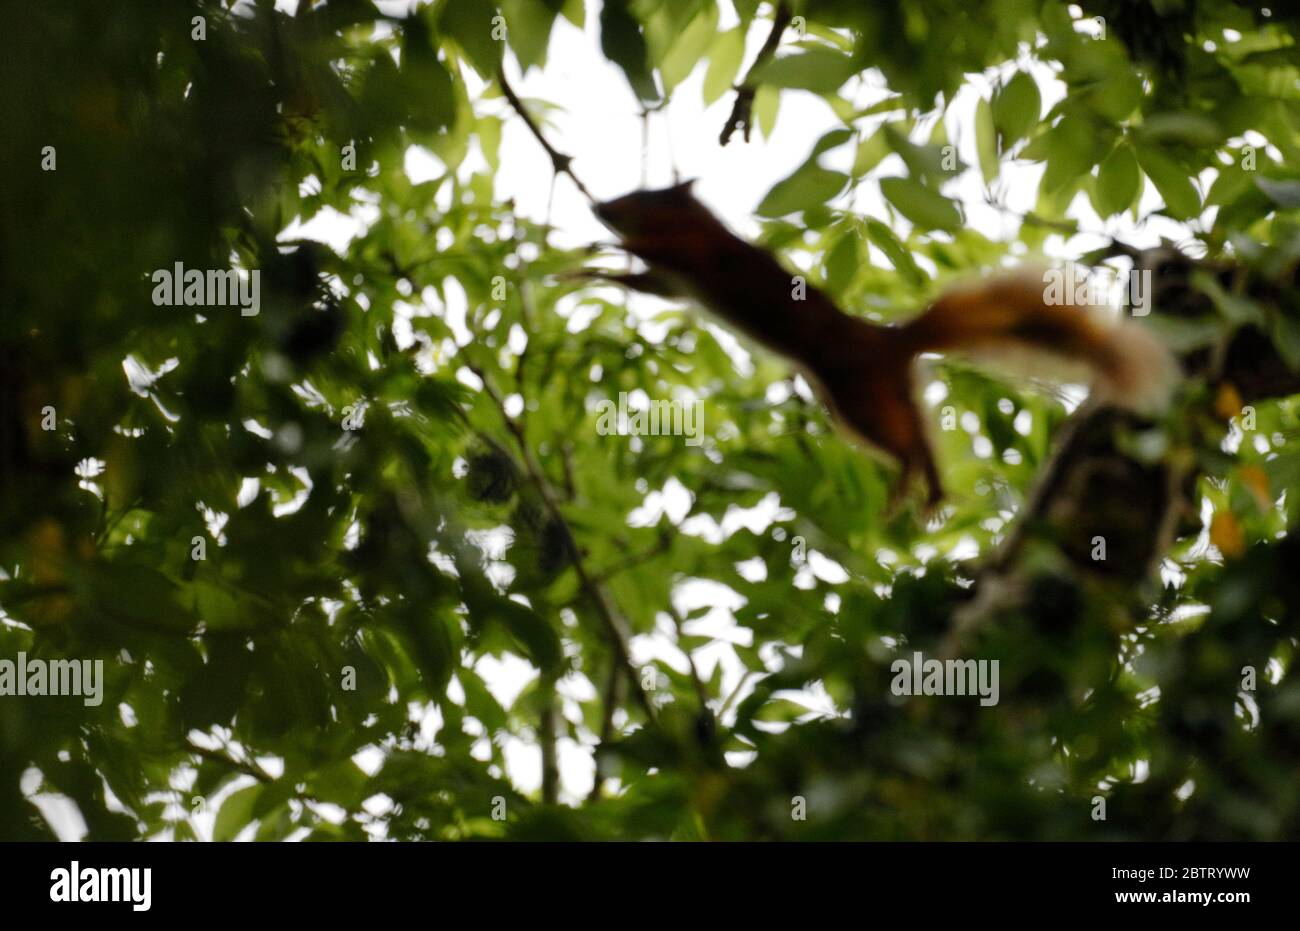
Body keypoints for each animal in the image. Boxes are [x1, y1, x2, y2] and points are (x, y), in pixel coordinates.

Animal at [590, 179, 1180, 501]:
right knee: (920, 436)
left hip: (855, 396)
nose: (600, 206)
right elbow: (649, 285)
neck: (699, 223)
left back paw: (911, 481)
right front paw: (589, 271)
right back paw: (930, 490)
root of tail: (889, 342)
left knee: (905, 444)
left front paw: (601, 248)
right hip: (886, 392)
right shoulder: (675, 279)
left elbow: (653, 257)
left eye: (641, 196)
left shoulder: (693, 251)